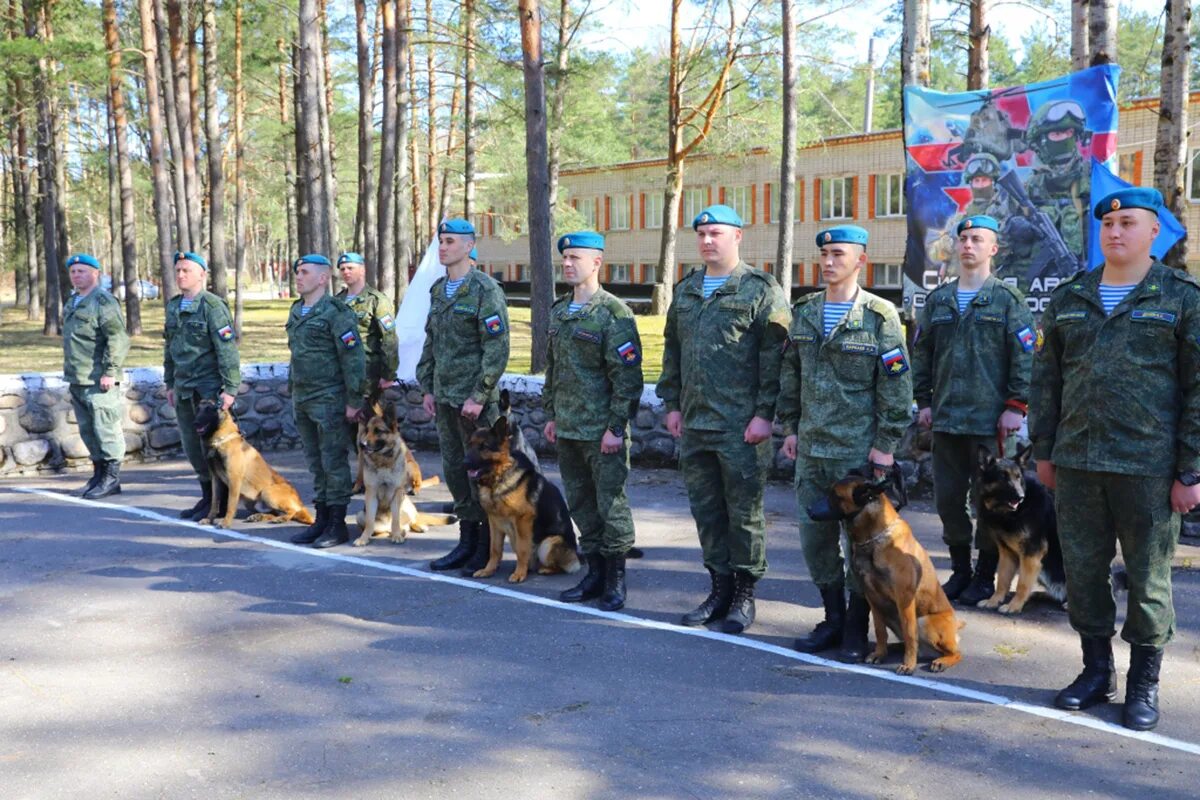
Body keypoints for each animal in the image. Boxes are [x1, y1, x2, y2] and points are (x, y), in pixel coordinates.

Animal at [352, 402, 456, 546]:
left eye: (378, 431)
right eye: (367, 430)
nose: (362, 444)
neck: (383, 461)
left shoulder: (396, 493)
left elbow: (396, 520)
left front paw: (397, 536)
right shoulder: (371, 494)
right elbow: (369, 522)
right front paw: (363, 538)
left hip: (405, 501)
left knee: (411, 521)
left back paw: (414, 527)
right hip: (359, 515)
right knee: (386, 530)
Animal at [460, 419, 578, 582]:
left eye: (484, 446)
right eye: (470, 445)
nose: (463, 463)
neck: (498, 478)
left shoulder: (523, 520)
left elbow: (522, 550)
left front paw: (519, 574)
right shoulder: (494, 521)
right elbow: (494, 549)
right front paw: (488, 570)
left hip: (549, 543)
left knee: (560, 566)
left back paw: (543, 569)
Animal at [806, 470, 964, 676]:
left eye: (835, 496)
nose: (808, 509)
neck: (874, 538)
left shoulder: (904, 600)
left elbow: (910, 633)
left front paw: (909, 664)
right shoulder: (873, 598)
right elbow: (880, 630)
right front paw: (879, 653)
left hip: (925, 622)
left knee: (955, 652)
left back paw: (941, 661)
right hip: (890, 613)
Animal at [974, 443, 1070, 614]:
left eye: (1018, 477)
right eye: (1003, 477)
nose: (1020, 497)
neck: (1011, 513)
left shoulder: (1031, 554)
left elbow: (1022, 584)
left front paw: (1014, 605)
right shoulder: (1006, 553)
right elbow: (1002, 580)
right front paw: (994, 601)